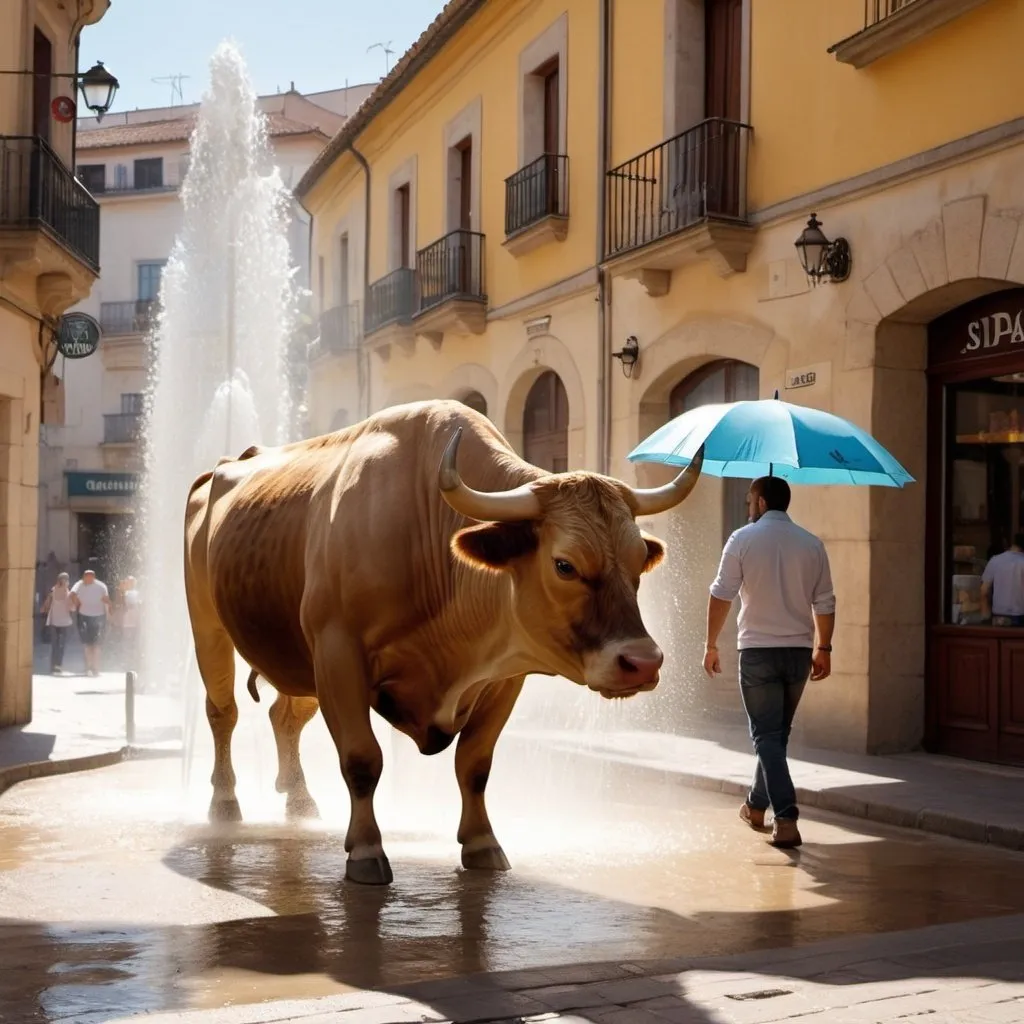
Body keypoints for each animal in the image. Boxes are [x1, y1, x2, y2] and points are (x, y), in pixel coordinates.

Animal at [184, 397, 700, 880]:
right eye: (564, 565)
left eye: (638, 561)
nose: (643, 662)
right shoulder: (337, 653)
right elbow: (362, 759)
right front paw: (366, 849)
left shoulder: (504, 676)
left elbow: (474, 765)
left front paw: (482, 843)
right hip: (209, 627)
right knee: (223, 713)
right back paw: (224, 803)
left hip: (296, 657)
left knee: (284, 717)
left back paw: (300, 800)